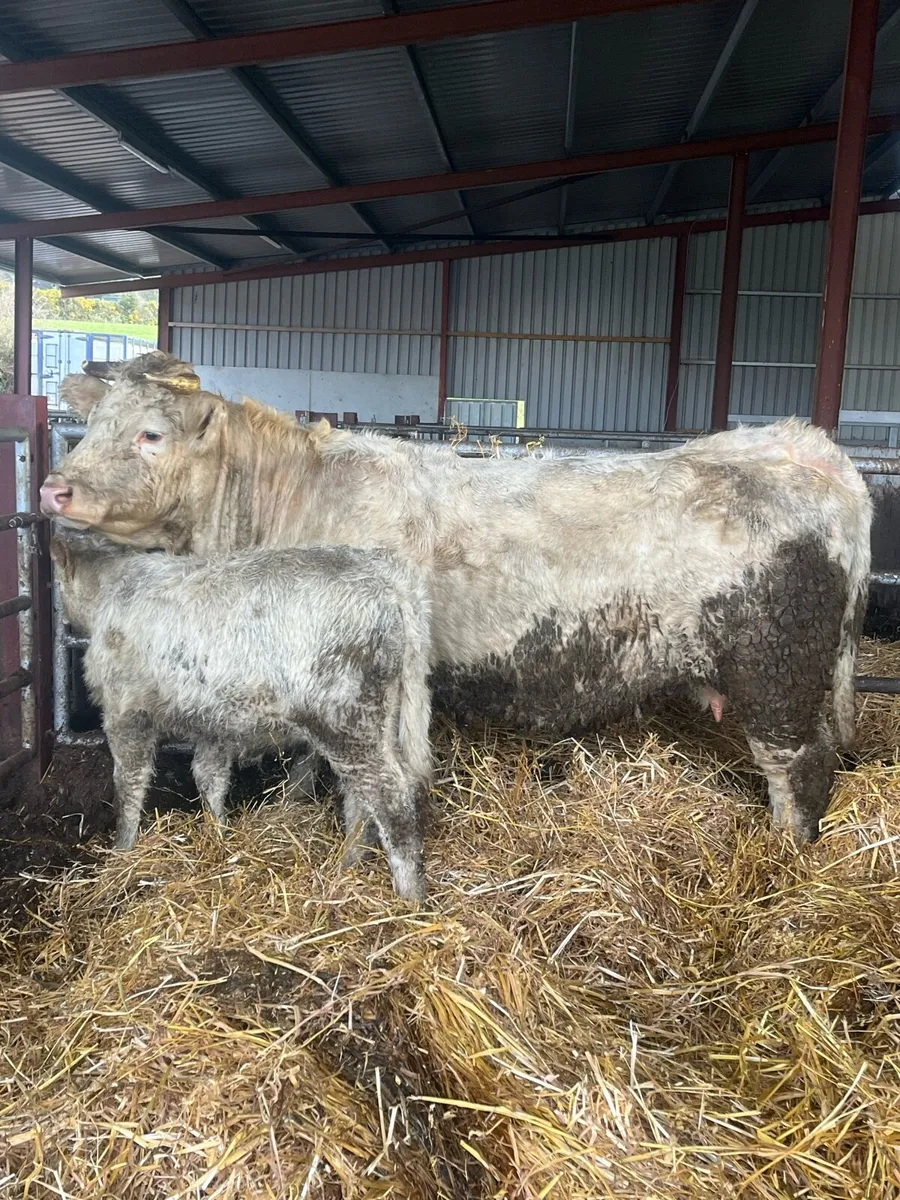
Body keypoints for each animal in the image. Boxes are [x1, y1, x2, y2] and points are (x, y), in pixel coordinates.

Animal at [41, 352, 873, 846]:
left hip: (780, 678)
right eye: (90, 423)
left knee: (801, 770)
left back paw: (785, 855)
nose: (55, 487)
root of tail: (804, 449)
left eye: (151, 433)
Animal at [49, 532, 432, 901]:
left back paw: (409, 895)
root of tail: (385, 574)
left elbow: (129, 785)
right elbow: (209, 776)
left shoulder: (126, 711)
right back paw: (348, 863)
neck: (115, 589)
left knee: (389, 796)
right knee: (361, 796)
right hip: (379, 717)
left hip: (345, 719)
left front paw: (123, 849)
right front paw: (217, 835)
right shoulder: (215, 721)